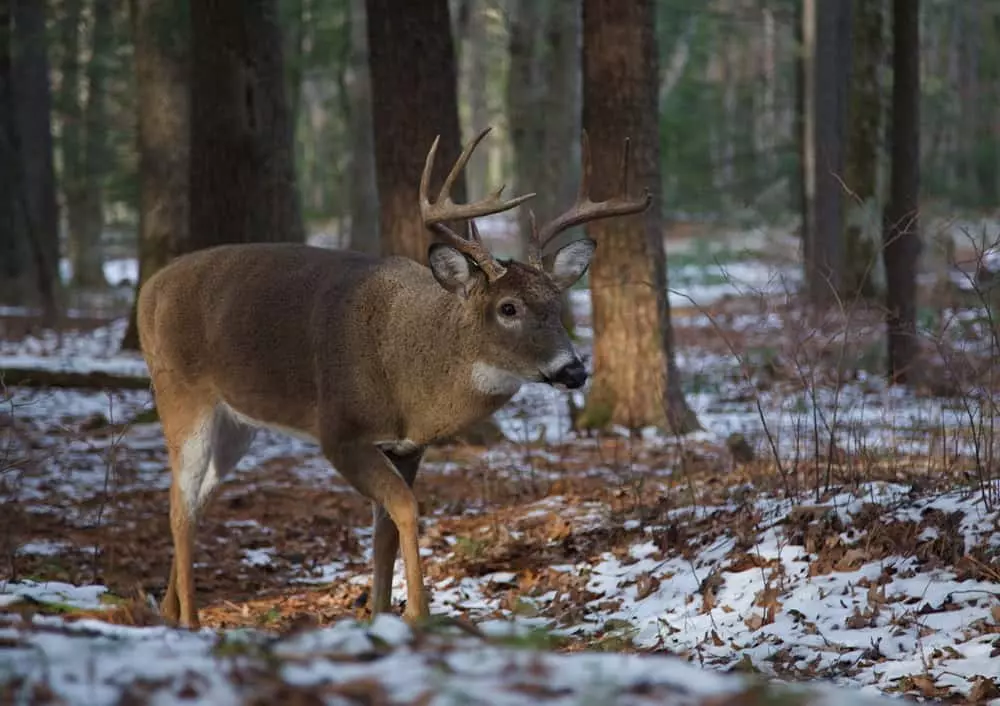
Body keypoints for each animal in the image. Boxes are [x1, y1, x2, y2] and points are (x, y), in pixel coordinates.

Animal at [137, 125, 648, 628]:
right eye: (508, 308)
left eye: (557, 305)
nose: (573, 369)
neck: (408, 377)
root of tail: (148, 288)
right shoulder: (340, 432)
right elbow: (406, 506)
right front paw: (419, 614)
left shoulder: (406, 446)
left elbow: (383, 529)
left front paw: (381, 615)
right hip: (180, 392)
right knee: (178, 503)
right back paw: (191, 621)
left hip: (237, 423)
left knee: (197, 498)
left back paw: (167, 611)